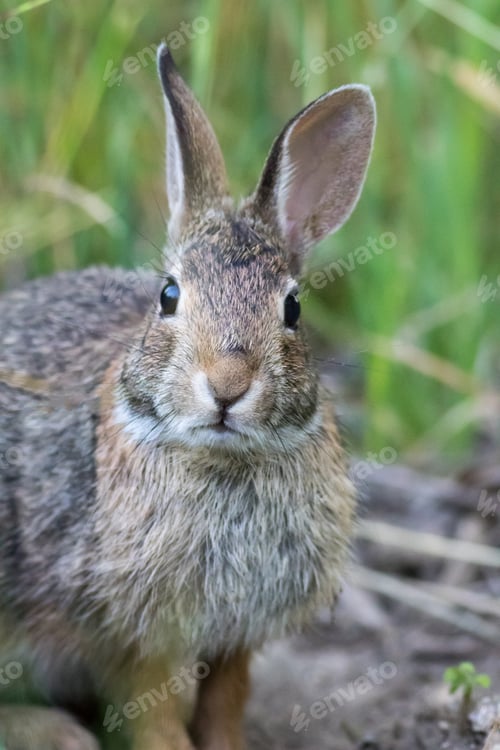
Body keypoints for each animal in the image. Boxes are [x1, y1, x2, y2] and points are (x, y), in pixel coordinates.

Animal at [0, 43, 375, 750]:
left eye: (292, 308)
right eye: (169, 295)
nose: (227, 386)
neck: (222, 461)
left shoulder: (239, 632)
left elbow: (226, 698)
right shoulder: (130, 632)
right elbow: (153, 713)